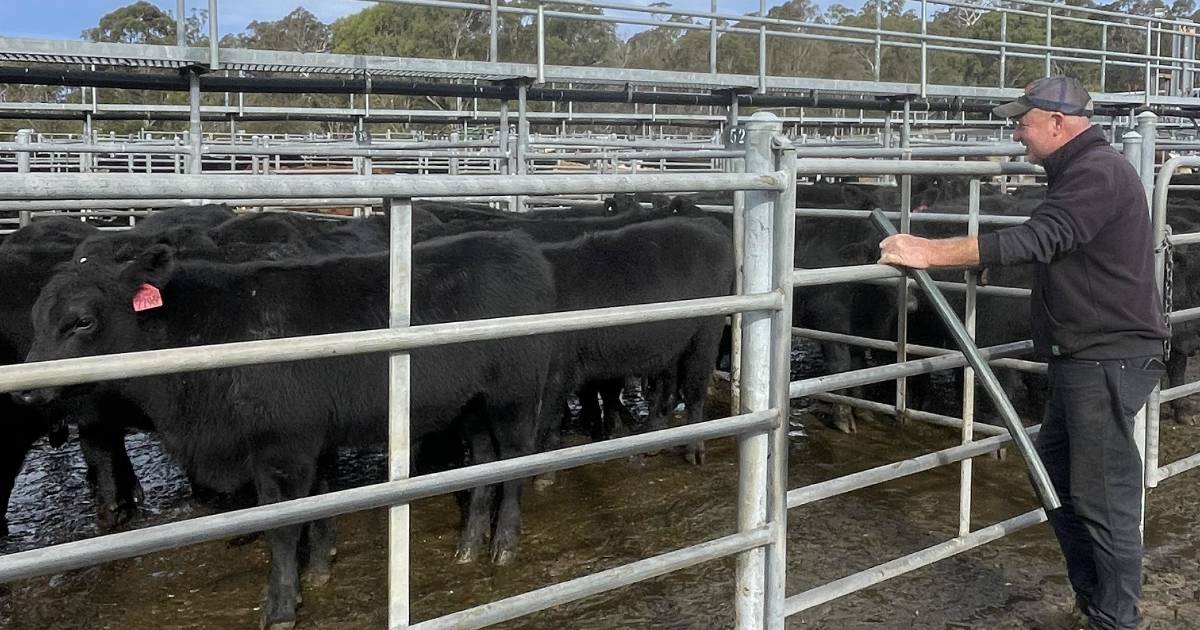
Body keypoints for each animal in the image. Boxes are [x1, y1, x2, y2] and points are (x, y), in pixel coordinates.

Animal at [19, 229, 552, 624]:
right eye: (36, 316)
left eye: (81, 321)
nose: (25, 389)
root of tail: (516, 242)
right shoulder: (308, 444)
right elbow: (318, 504)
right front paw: (316, 570)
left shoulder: (282, 448)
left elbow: (282, 526)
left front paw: (280, 606)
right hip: (470, 406)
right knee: (482, 461)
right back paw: (469, 545)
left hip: (514, 396)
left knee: (515, 459)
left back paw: (503, 545)